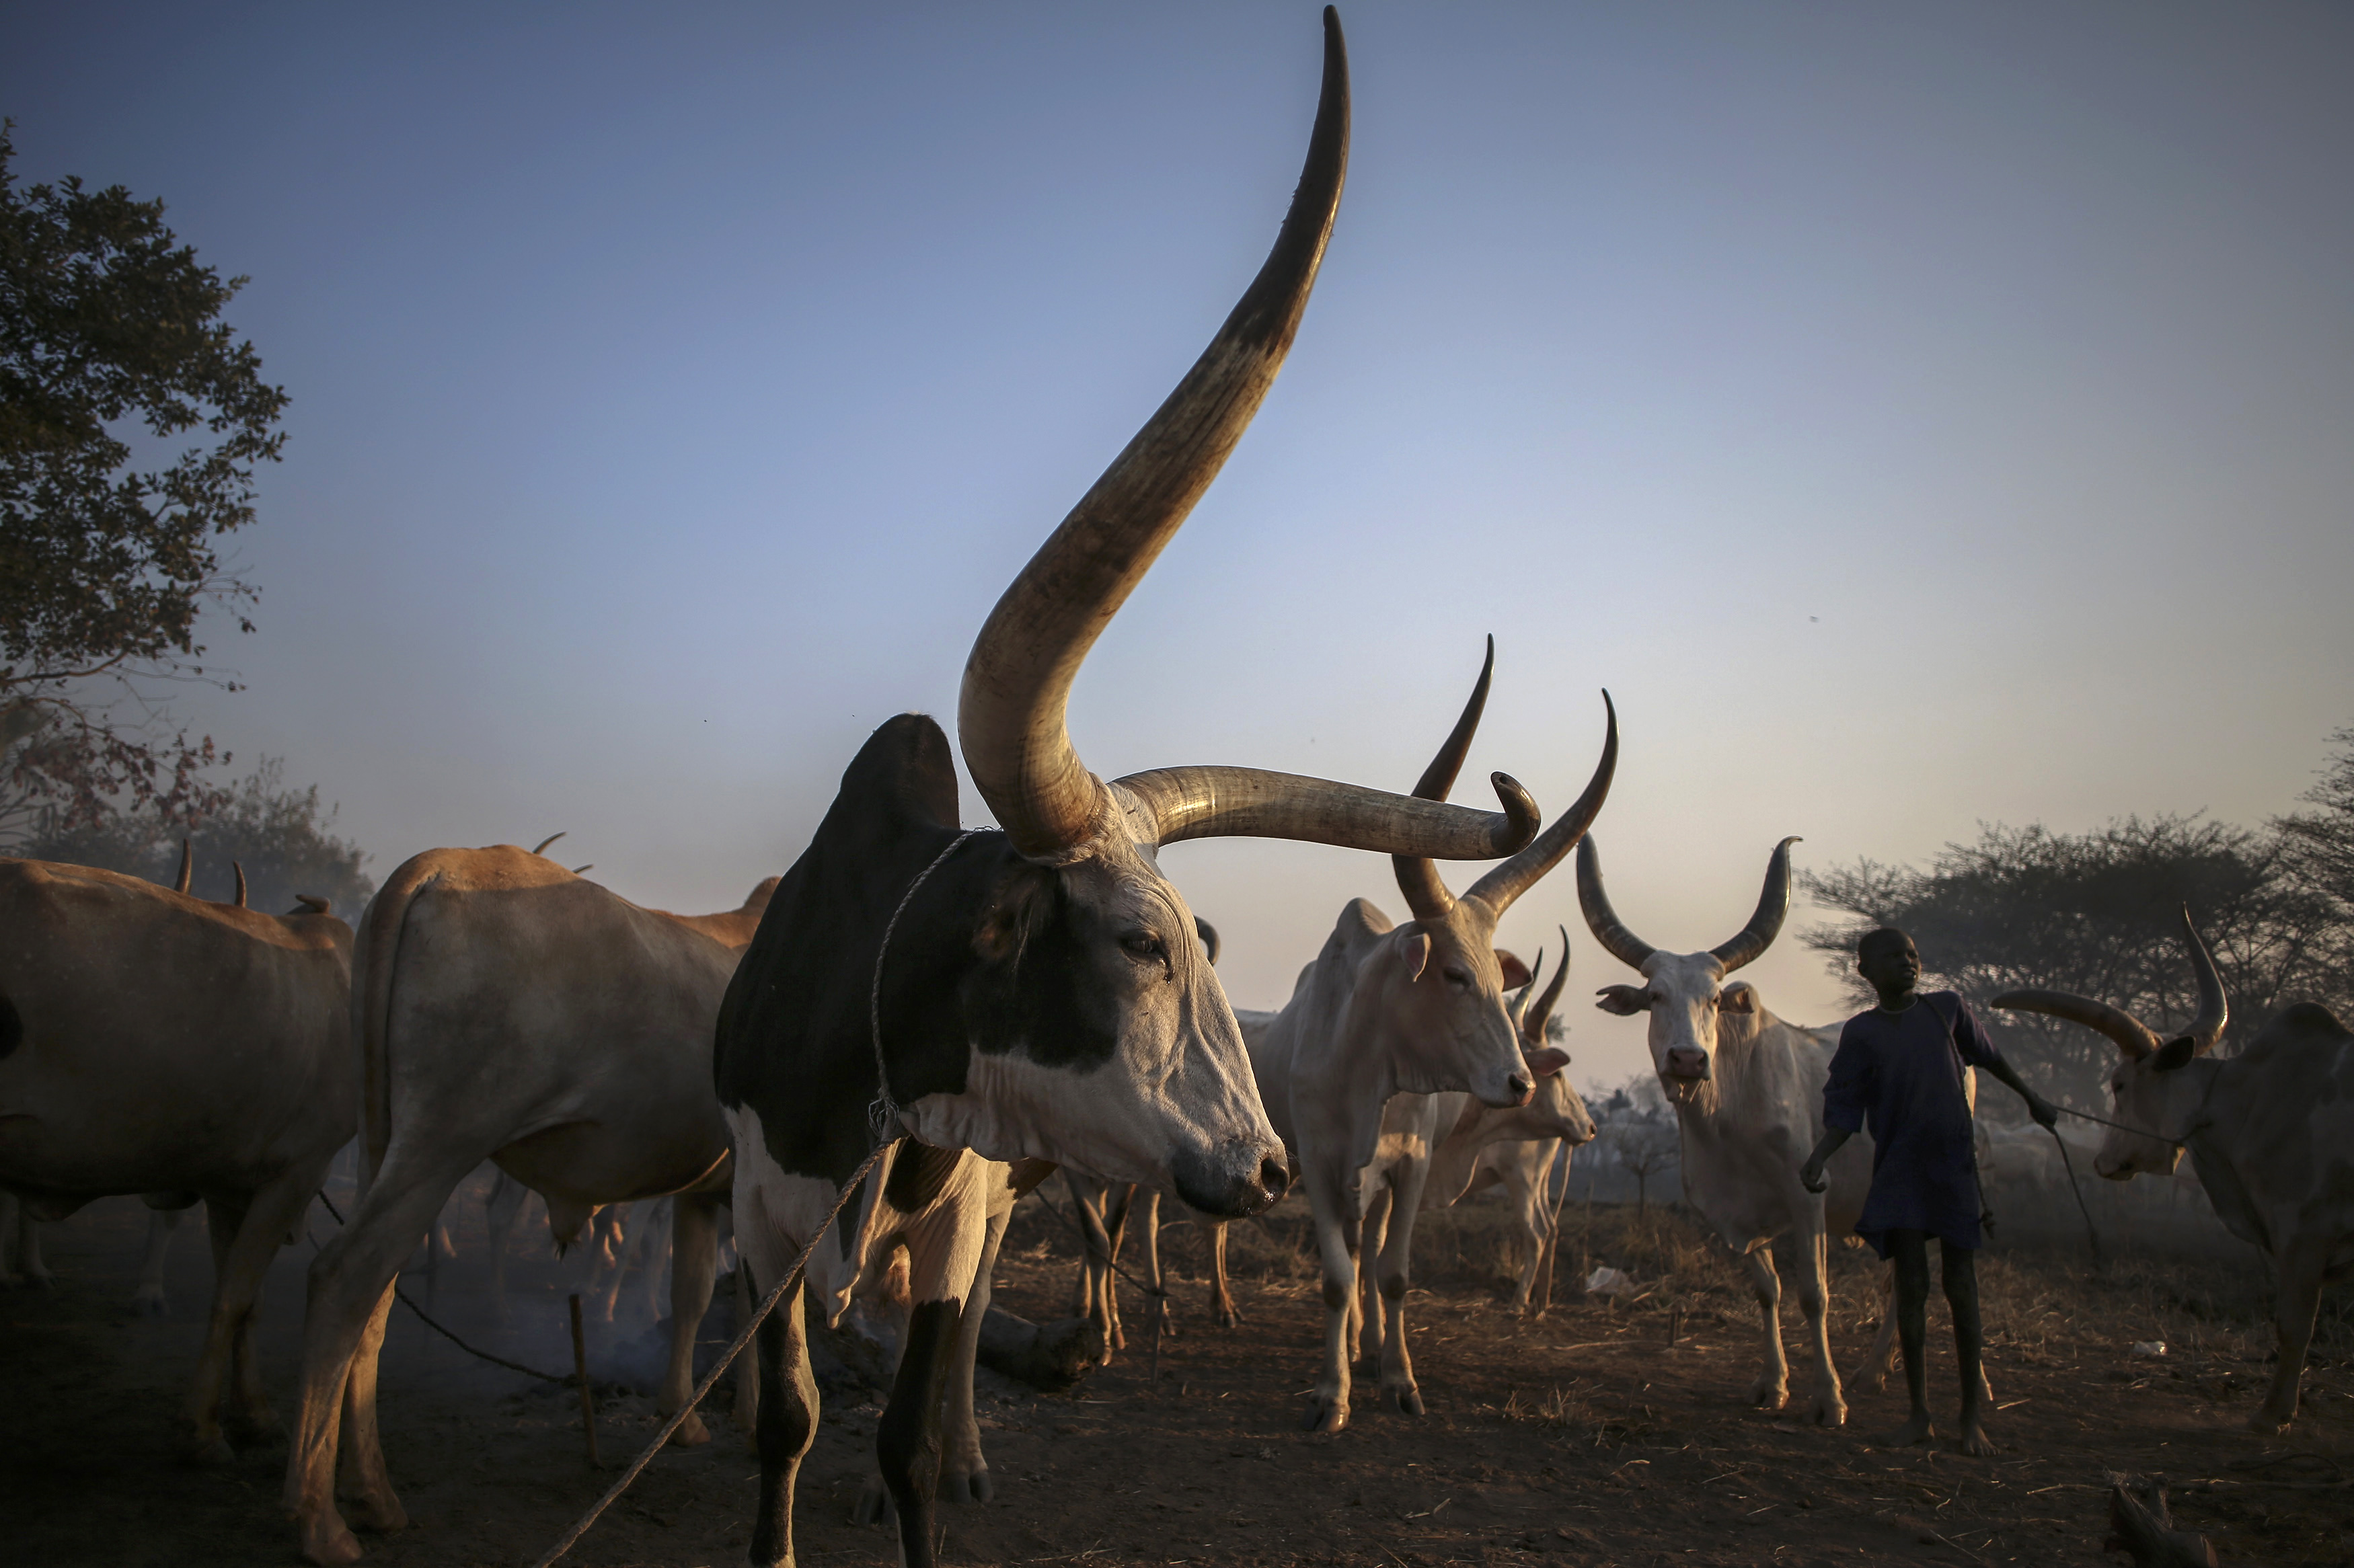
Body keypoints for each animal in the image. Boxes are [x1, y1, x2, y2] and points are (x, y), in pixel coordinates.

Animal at [0, 857, 354, 1463]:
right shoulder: (296, 1172)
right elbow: (234, 1299)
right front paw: (203, 1432)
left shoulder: (233, 1185)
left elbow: (247, 1302)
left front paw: (254, 1415)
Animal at [284, 849, 775, 1565]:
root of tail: (433, 867)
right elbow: (764, 1308)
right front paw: (752, 1419)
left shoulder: (701, 1194)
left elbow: (693, 1296)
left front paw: (683, 1418)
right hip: (442, 1143)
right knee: (341, 1279)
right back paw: (322, 1522)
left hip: (382, 1138)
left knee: (374, 1301)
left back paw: (371, 1492)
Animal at [712, 18, 1564, 1567]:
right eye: (1140, 942)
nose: (1271, 1171)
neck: (876, 1030)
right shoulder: (757, 1210)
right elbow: (784, 1421)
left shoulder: (958, 1215)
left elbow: (909, 1418)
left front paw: (928, 1466)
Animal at [1576, 835, 1879, 1424]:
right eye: (1655, 997)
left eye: (1715, 1000)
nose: (1689, 1060)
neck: (1729, 1118)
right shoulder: (1730, 1215)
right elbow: (1768, 1291)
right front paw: (1772, 1384)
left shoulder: (1809, 1199)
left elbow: (1814, 1294)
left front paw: (1828, 1398)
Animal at [1995, 906, 2354, 1434]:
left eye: (2119, 1084)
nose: (2102, 1161)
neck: (2245, 1102)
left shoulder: (2303, 1233)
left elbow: (2292, 1325)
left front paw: (2271, 1414)